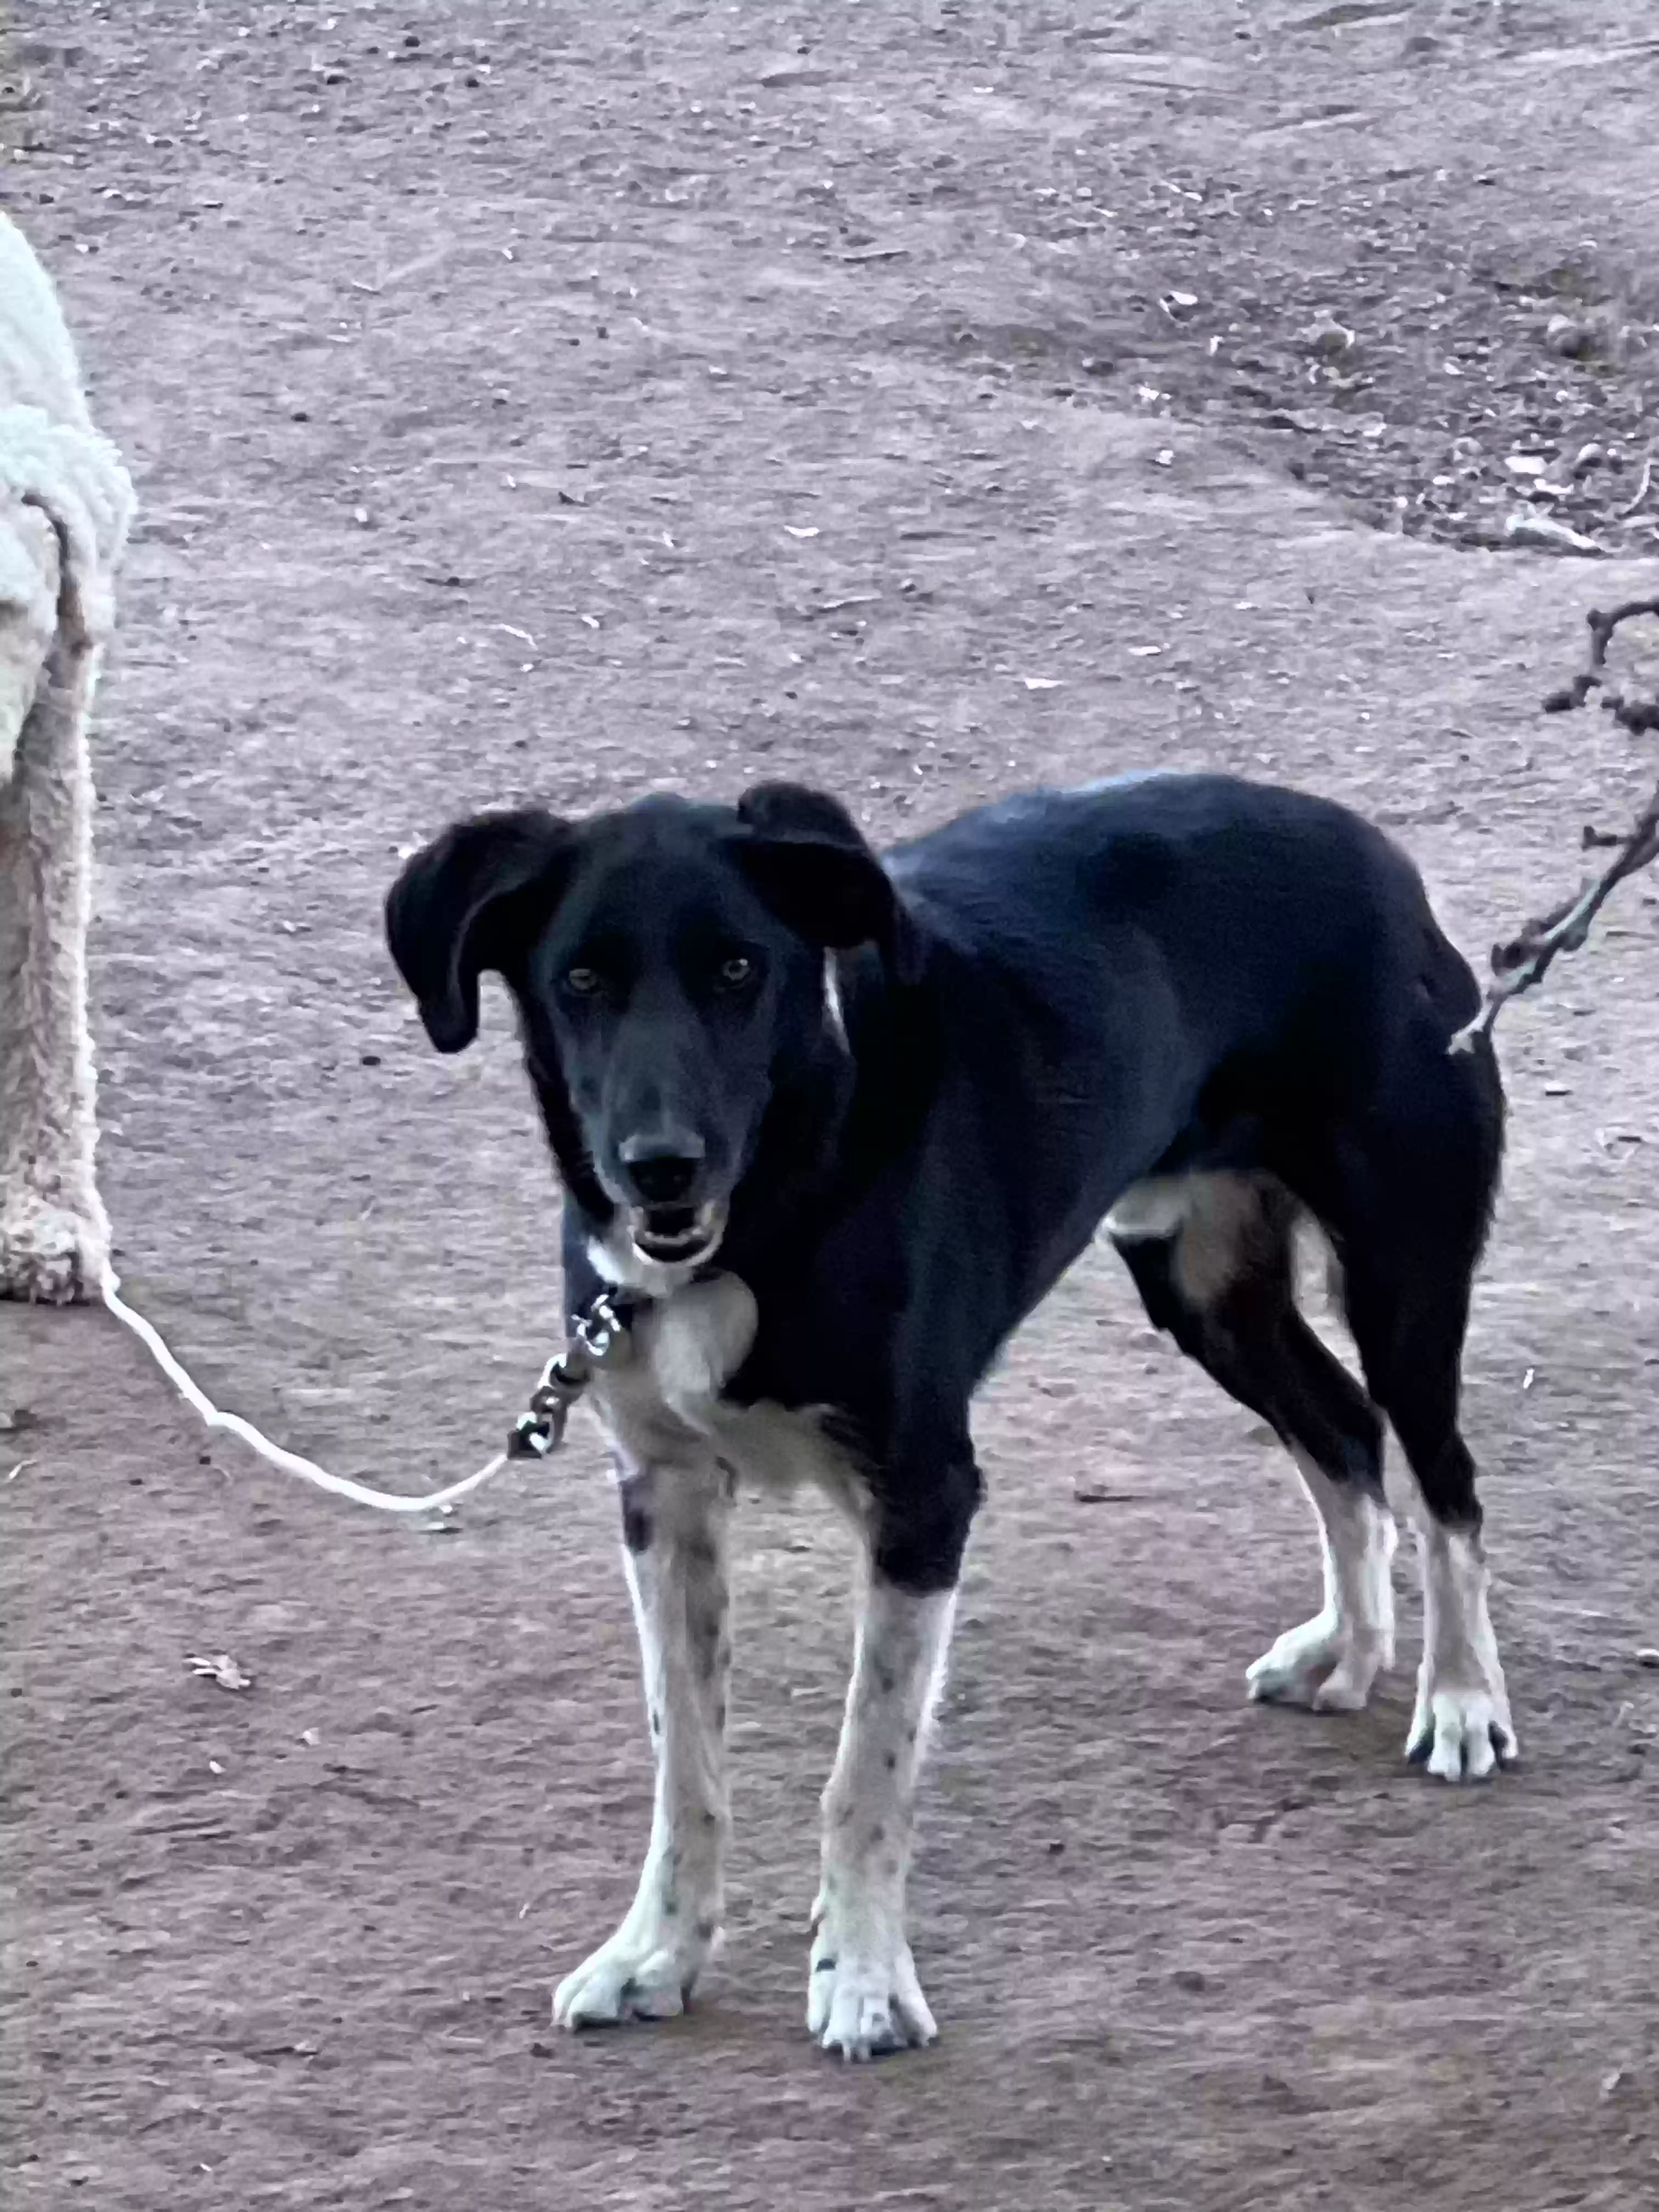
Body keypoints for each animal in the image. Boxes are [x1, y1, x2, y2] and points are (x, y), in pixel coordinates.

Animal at [389, 774, 1522, 2052]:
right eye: (580, 979)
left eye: (739, 968)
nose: (660, 1166)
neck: (780, 1198)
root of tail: (1373, 853)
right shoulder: (665, 1495)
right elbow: (686, 1763)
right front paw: (657, 1953)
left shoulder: (923, 1495)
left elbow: (865, 1770)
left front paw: (865, 1979)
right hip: (1201, 1282)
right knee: (1337, 1429)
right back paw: (1350, 1646)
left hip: (1402, 1279)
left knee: (1443, 1479)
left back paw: (1460, 1696)